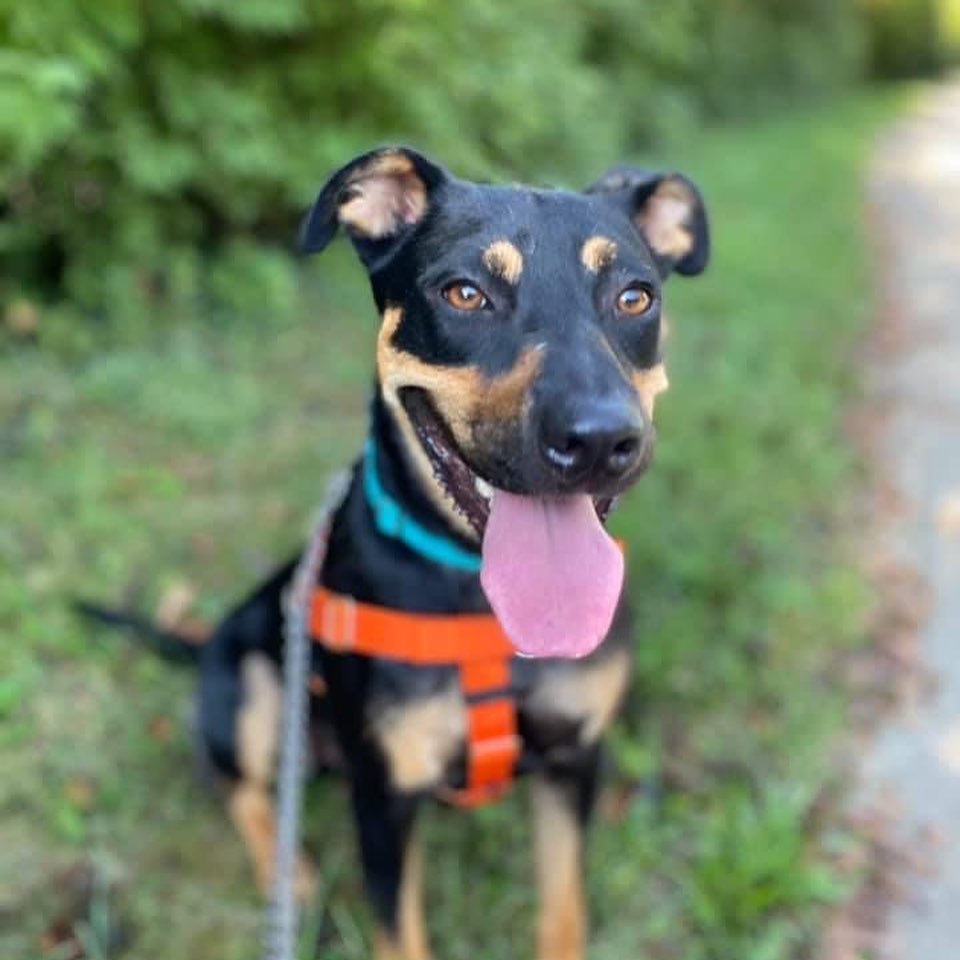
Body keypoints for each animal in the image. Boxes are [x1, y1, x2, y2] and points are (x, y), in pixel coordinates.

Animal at [79, 144, 708, 960]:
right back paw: (293, 877)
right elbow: (398, 932)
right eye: (465, 293)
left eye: (635, 298)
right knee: (238, 787)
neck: (476, 591)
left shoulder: (575, 761)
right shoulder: (382, 799)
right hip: (250, 679)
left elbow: (564, 910)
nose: (601, 440)